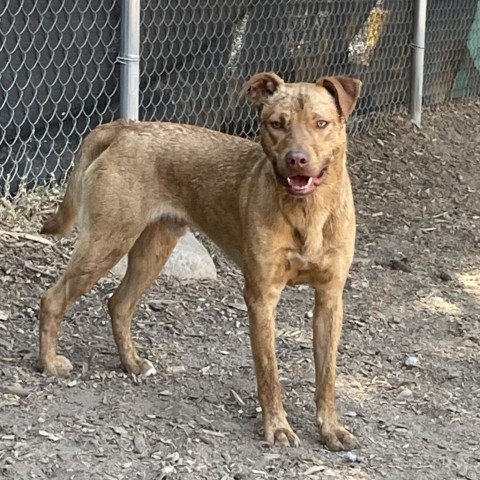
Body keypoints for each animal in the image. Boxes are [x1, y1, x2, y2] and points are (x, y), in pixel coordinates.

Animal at [40, 71, 360, 450]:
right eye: (276, 124)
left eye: (321, 123)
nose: (296, 159)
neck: (307, 211)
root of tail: (125, 128)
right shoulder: (261, 297)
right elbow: (269, 372)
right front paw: (277, 426)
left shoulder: (330, 298)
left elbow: (327, 376)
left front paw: (331, 429)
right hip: (107, 242)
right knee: (53, 299)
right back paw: (49, 364)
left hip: (153, 249)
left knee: (118, 304)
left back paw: (132, 363)